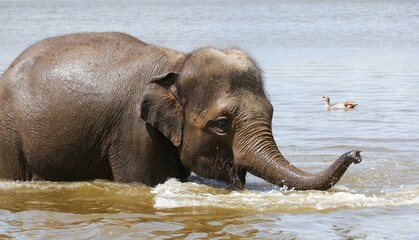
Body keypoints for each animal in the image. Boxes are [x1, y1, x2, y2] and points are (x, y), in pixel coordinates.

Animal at [0, 32, 360, 189]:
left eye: (271, 113)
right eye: (221, 124)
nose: (356, 153)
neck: (178, 62)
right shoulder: (134, 133)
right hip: (8, 134)